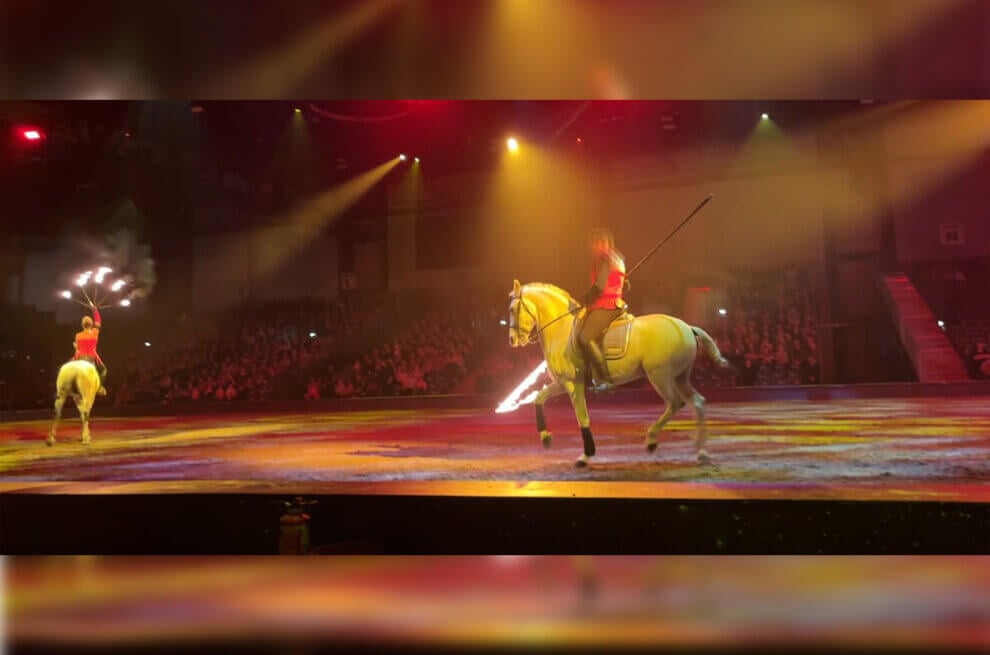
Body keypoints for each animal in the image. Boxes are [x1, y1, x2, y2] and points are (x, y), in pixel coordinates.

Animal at [507, 280, 729, 468]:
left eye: (512, 309)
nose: (512, 340)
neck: (562, 329)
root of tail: (687, 327)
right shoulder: (563, 383)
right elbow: (538, 398)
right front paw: (545, 437)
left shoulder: (573, 384)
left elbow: (582, 417)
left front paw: (585, 456)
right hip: (679, 376)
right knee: (697, 402)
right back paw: (702, 454)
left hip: (660, 376)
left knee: (675, 403)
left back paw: (651, 440)